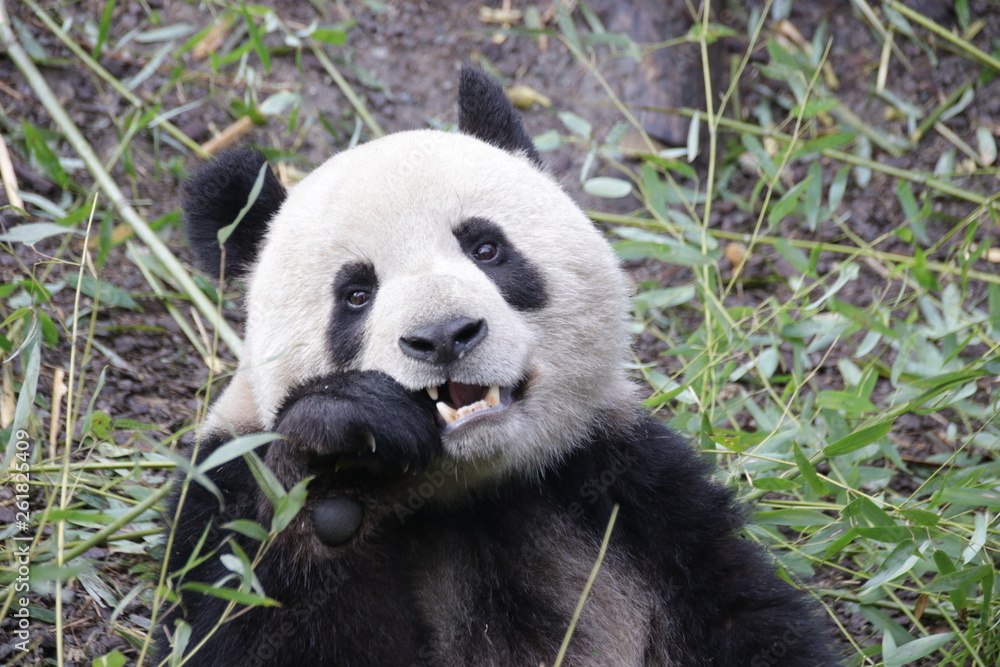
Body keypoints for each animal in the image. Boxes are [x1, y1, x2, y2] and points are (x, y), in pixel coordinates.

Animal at [157, 67, 835, 666]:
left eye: (486, 248)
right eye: (355, 293)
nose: (443, 336)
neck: (467, 488)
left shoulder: (631, 491)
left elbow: (742, 618)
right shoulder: (223, 487)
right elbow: (239, 623)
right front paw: (336, 451)